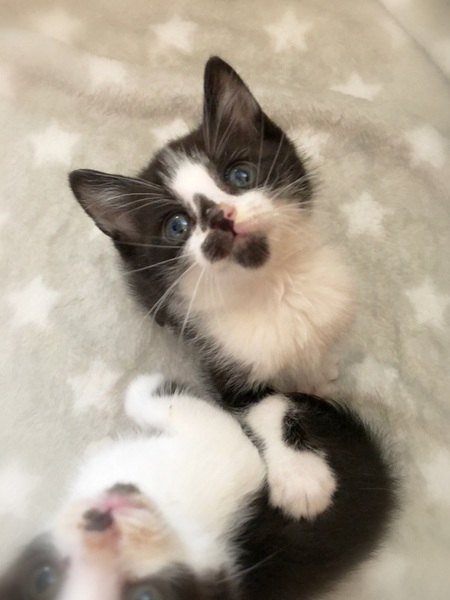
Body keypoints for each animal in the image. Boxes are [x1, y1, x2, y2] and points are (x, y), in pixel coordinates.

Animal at [68, 56, 353, 400]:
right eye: (177, 226)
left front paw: (318, 375)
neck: (275, 286)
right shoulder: (222, 367)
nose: (219, 215)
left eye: (241, 175)